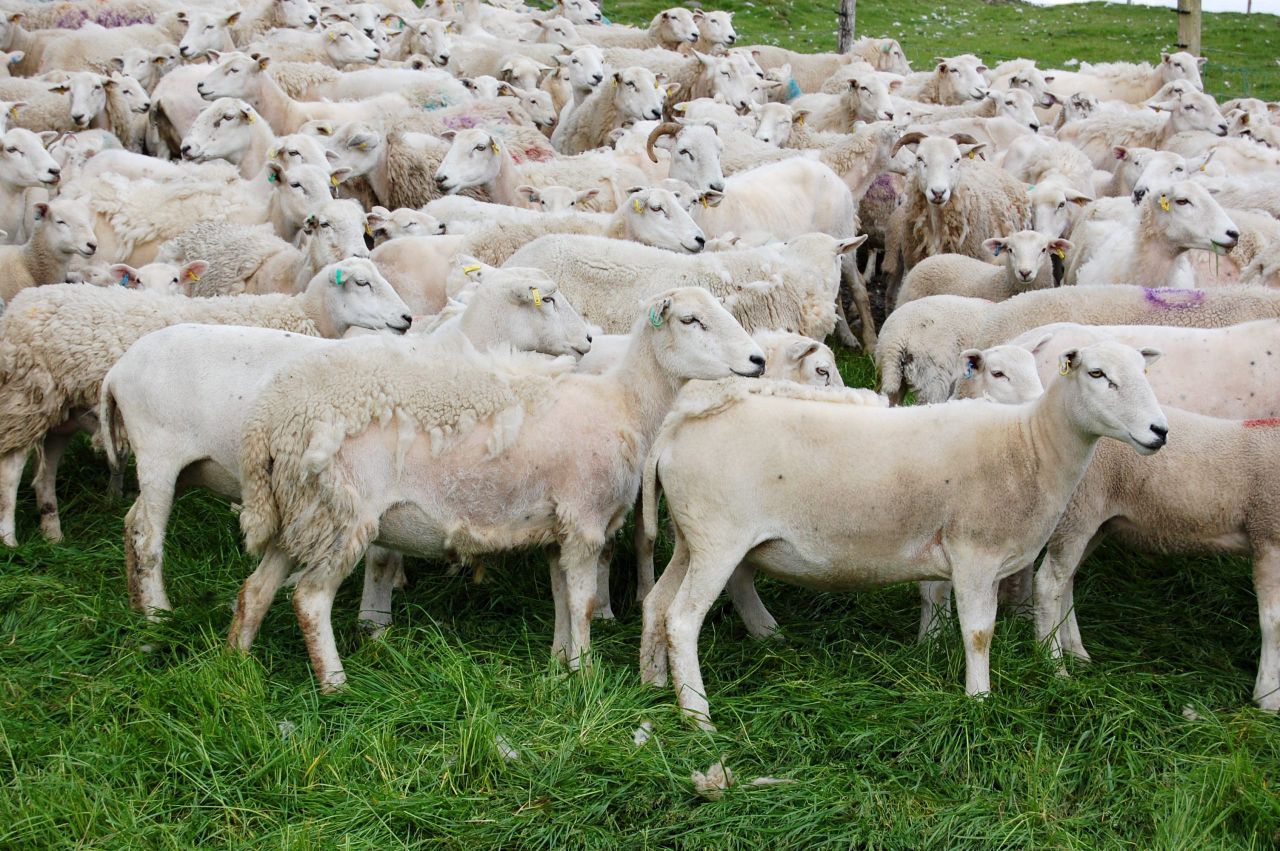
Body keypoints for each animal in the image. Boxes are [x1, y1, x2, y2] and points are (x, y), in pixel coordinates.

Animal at [0, 258, 412, 547]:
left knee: (45, 470)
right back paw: (10, 539)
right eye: (362, 283)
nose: (407, 318)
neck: (306, 314)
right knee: (11, 469)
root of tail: (20, 302)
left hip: (58, 408)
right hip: (24, 398)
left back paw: (52, 532)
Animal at [98, 263, 591, 616]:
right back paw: (158, 614)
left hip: (178, 467)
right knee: (148, 535)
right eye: (548, 299)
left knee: (131, 522)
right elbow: (378, 554)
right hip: (160, 455)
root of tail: (119, 369)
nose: (589, 338)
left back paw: (135, 599)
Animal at [229, 286, 764, 688]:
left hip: (301, 512)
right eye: (691, 320)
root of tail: (271, 420)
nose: (758, 359)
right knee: (309, 600)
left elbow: (561, 600)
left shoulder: (558, 530)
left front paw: (559, 665)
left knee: (255, 590)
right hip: (342, 512)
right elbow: (584, 603)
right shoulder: (584, 520)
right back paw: (334, 683)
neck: (625, 404)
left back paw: (237, 664)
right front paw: (585, 674)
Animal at [639, 342, 1167, 728]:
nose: (1159, 431)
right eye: (1097, 374)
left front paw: (935, 654)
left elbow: (939, 603)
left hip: (691, 537)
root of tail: (677, 426)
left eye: (1146, 373)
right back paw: (698, 715)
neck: (1030, 446)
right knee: (682, 619)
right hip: (719, 538)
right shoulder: (975, 553)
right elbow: (979, 632)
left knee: (657, 603)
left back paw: (653, 681)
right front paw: (979, 701)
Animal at [1032, 407, 1280, 711]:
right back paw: (1053, 666)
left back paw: (1076, 652)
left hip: (1093, 521)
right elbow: (1273, 621)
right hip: (1079, 508)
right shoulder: (1268, 534)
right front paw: (1268, 697)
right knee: (1048, 585)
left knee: (1066, 581)